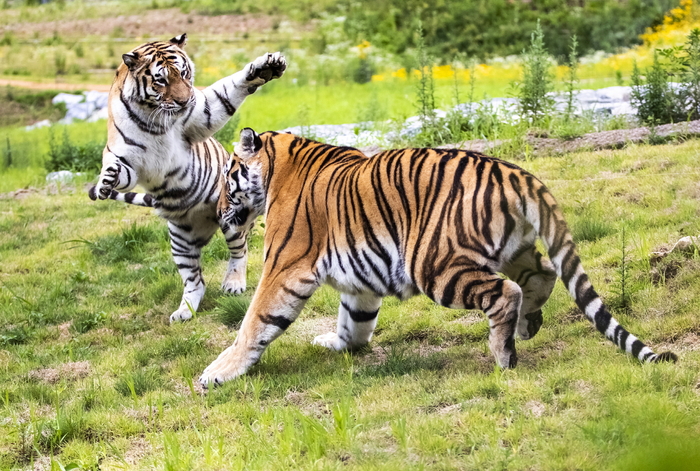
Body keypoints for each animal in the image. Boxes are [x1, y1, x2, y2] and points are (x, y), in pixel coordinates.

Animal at [89, 35, 286, 324]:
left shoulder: (200, 116)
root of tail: (208, 224)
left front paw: (265, 67)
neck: (154, 117)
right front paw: (107, 179)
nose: (184, 101)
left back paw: (234, 283)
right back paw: (184, 310)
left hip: (231, 217)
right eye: (160, 80)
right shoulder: (127, 157)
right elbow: (118, 170)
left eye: (183, 73)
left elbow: (226, 92)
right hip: (180, 241)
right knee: (195, 281)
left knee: (240, 251)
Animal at [197, 130, 680, 388]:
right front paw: (338, 343)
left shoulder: (284, 265)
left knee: (505, 291)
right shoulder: (359, 278)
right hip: (512, 248)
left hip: (432, 262)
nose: (216, 210)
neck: (279, 164)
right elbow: (354, 322)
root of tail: (515, 172)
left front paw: (218, 373)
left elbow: (254, 323)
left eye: (226, 176)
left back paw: (504, 353)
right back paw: (527, 326)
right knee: (541, 274)